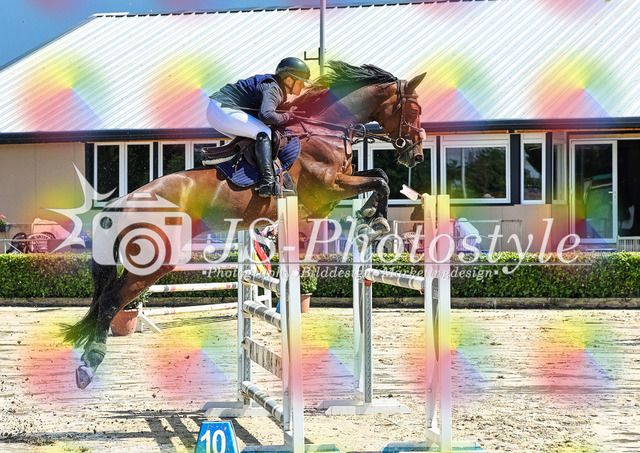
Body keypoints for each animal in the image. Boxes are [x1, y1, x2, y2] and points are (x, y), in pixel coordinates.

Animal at [63, 61, 427, 389]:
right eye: (415, 108)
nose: (417, 156)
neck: (325, 130)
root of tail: (125, 201)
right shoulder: (329, 187)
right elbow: (380, 180)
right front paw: (377, 220)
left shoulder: (338, 184)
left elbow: (377, 175)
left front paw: (371, 215)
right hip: (156, 259)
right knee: (112, 301)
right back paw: (89, 365)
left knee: (108, 297)